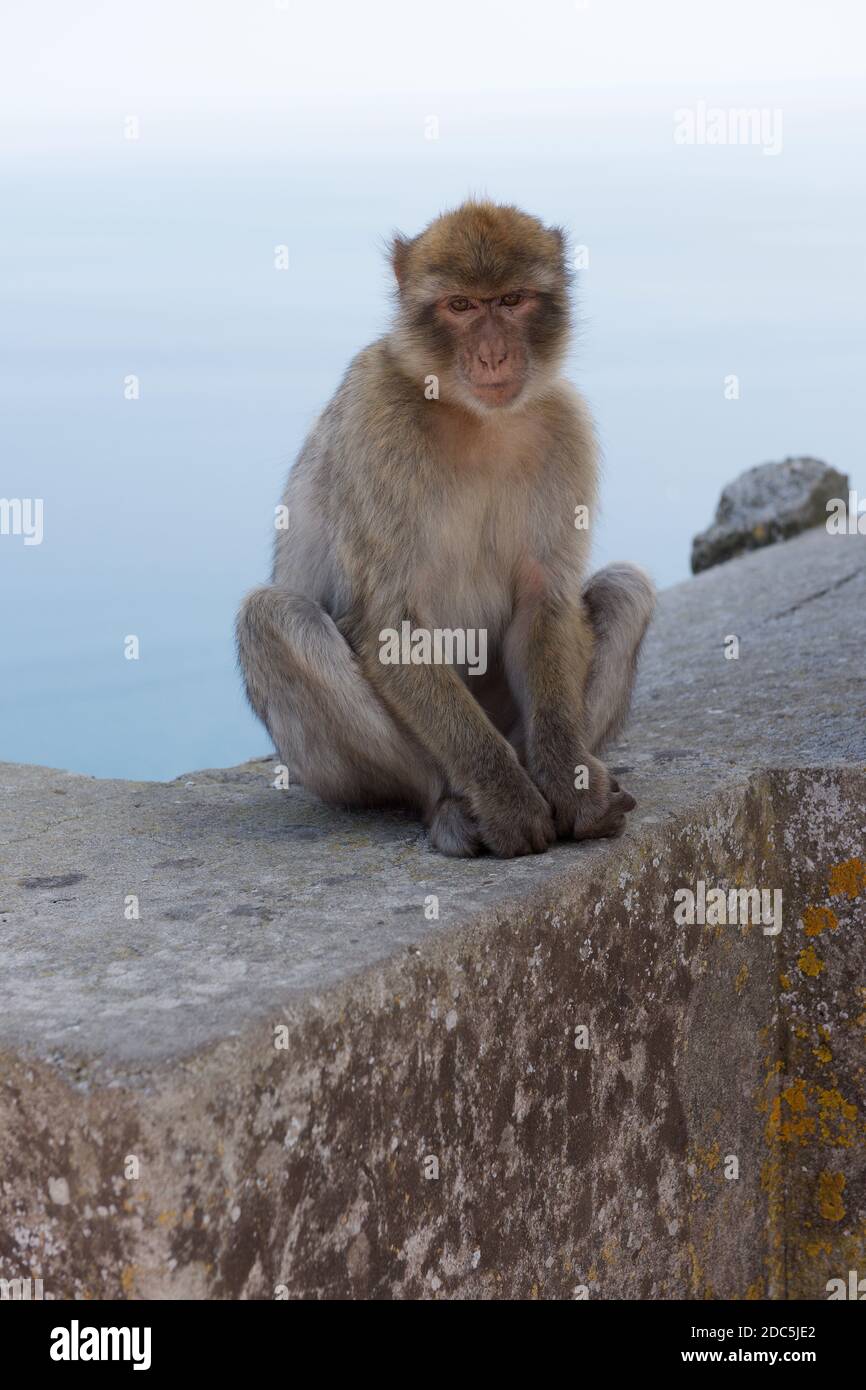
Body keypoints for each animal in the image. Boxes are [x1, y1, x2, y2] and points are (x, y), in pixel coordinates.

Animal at [237, 199, 655, 857]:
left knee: (625, 588)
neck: (475, 417)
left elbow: (545, 600)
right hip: (333, 777)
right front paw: (507, 802)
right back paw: (449, 803)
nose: (493, 356)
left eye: (511, 300)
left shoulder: (565, 424)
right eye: (460, 306)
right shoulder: (375, 419)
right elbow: (390, 624)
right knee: (270, 618)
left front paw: (574, 787)